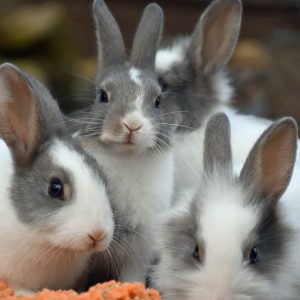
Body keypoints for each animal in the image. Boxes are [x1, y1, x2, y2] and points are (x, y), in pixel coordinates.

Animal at [72, 0, 180, 284]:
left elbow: (132, 276)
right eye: (103, 96)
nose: (132, 124)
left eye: (157, 100)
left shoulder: (139, 250)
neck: (127, 157)